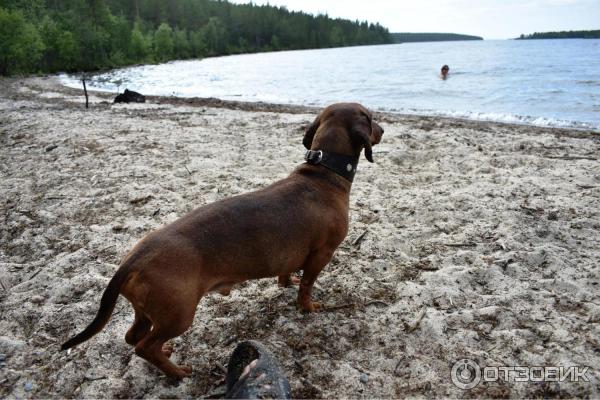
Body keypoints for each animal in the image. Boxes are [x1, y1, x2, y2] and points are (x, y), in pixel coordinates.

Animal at [61, 102, 384, 378]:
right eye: (369, 117)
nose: (382, 130)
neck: (322, 173)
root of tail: (134, 258)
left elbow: (287, 274)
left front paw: (285, 283)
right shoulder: (322, 254)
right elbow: (307, 285)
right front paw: (308, 307)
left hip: (148, 312)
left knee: (133, 337)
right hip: (180, 315)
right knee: (144, 347)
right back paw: (177, 373)